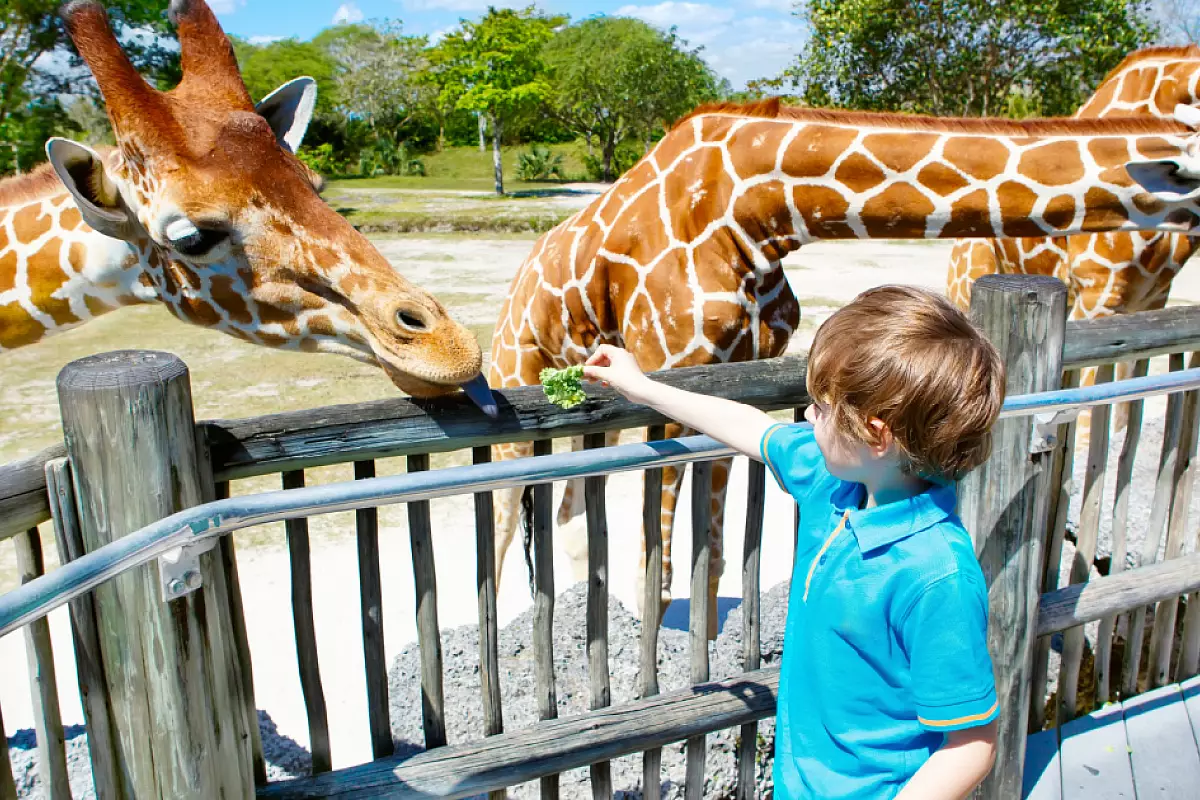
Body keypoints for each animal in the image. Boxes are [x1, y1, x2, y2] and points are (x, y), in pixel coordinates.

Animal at [484, 98, 1200, 638]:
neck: (760, 209)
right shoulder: (669, 362)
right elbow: (655, 580)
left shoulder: (734, 365)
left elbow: (709, 565)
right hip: (516, 368)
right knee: (504, 519)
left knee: (569, 510)